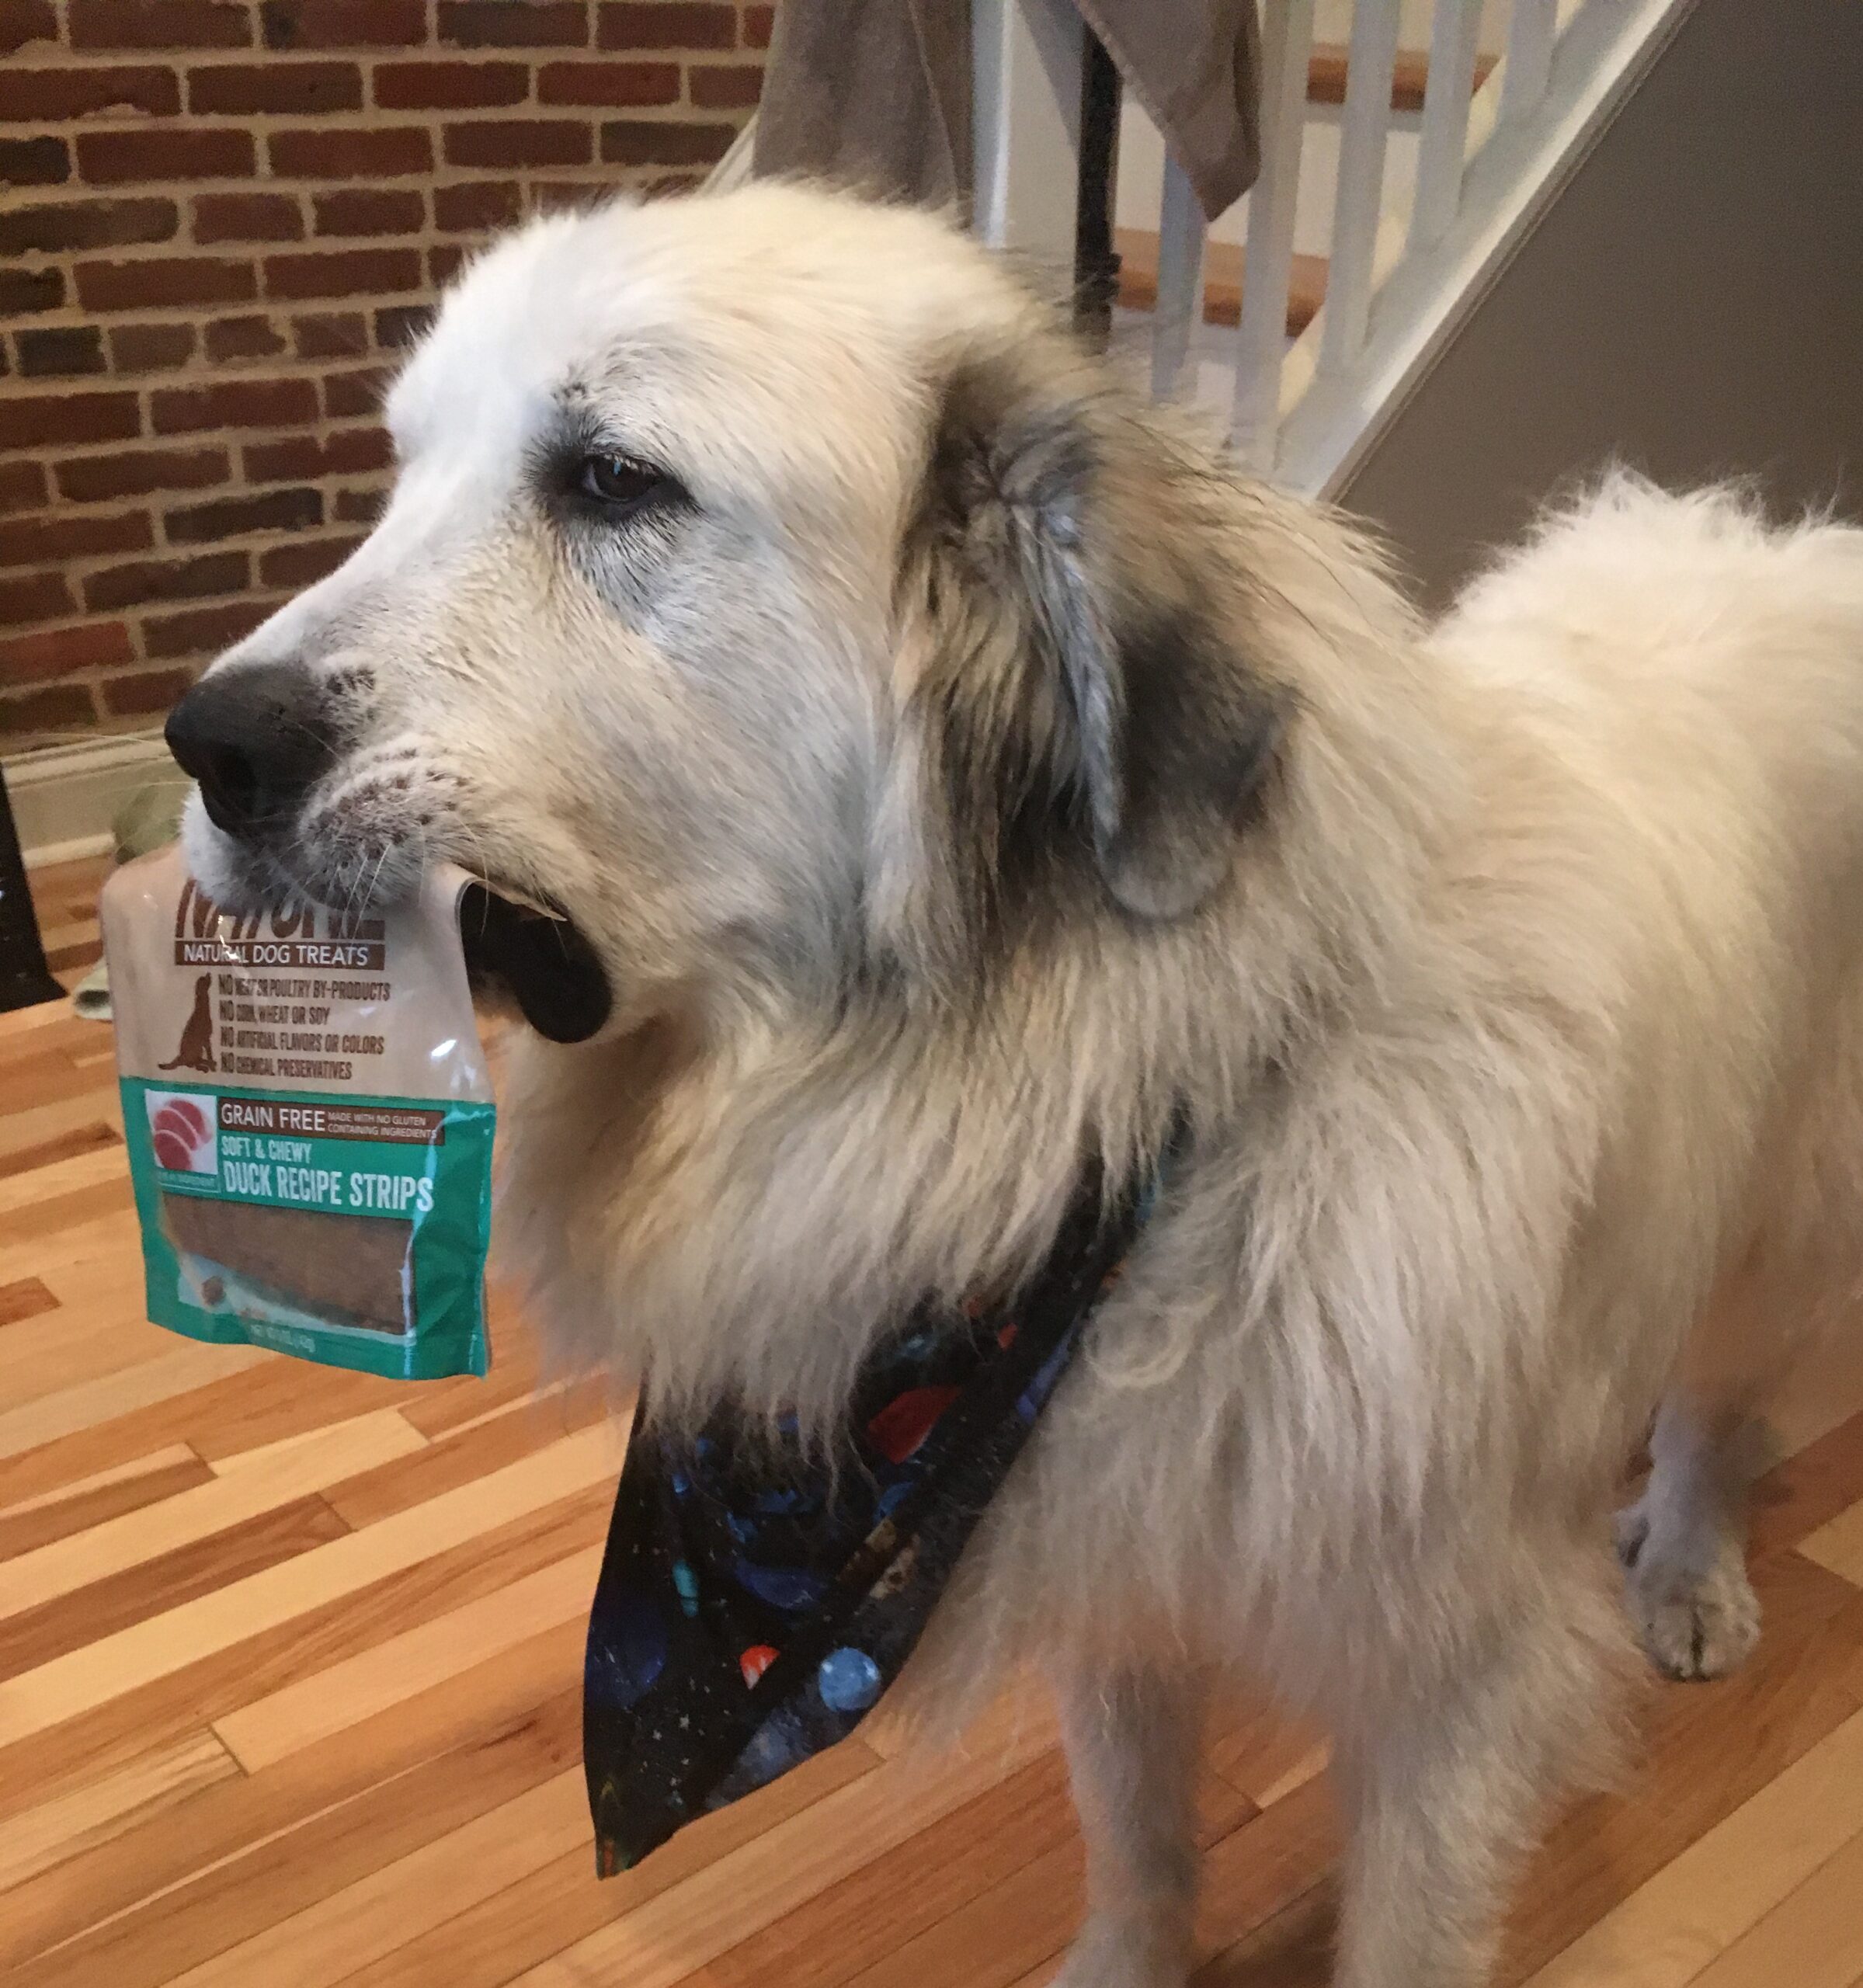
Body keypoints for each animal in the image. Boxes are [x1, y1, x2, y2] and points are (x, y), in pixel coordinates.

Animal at [171, 186, 1861, 1988]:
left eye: (613, 482)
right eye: (403, 473)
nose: (203, 741)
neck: (1140, 1126)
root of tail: (1771, 544)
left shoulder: (1448, 1701)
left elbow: (1399, 1930)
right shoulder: (1101, 1573)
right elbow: (1135, 1834)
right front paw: (1125, 1960)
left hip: (1782, 1215)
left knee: (1723, 1401)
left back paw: (1686, 1571)